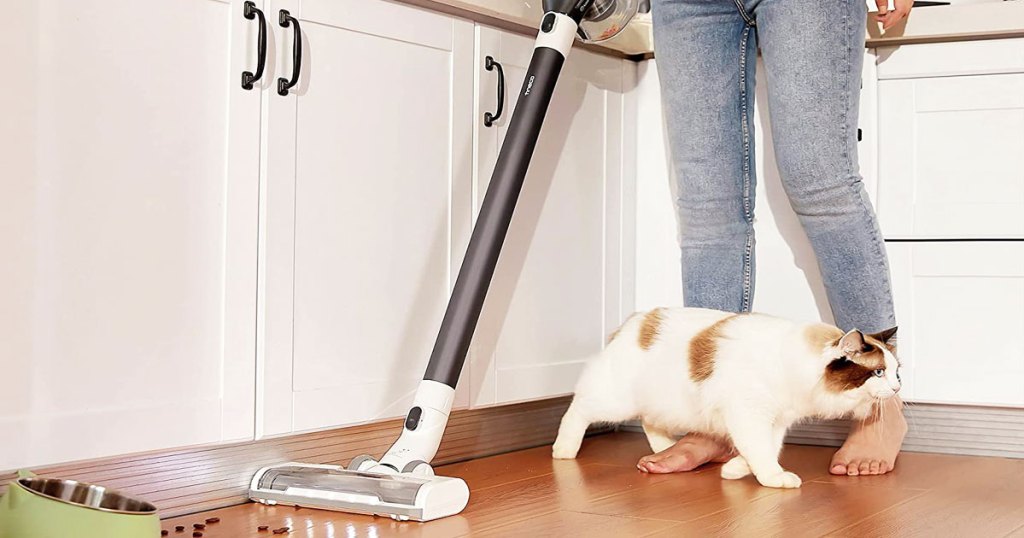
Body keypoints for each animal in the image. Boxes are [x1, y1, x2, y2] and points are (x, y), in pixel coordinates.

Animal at [552, 305, 897, 485]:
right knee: (578, 409)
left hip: (664, 402)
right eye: (879, 372)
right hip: (616, 400)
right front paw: (774, 478)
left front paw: (735, 469)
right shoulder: (749, 414)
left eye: (897, 371)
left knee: (651, 422)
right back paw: (563, 449)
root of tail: (635, 321)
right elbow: (760, 450)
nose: (897, 388)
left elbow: (767, 448)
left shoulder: (775, 420)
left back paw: (664, 452)